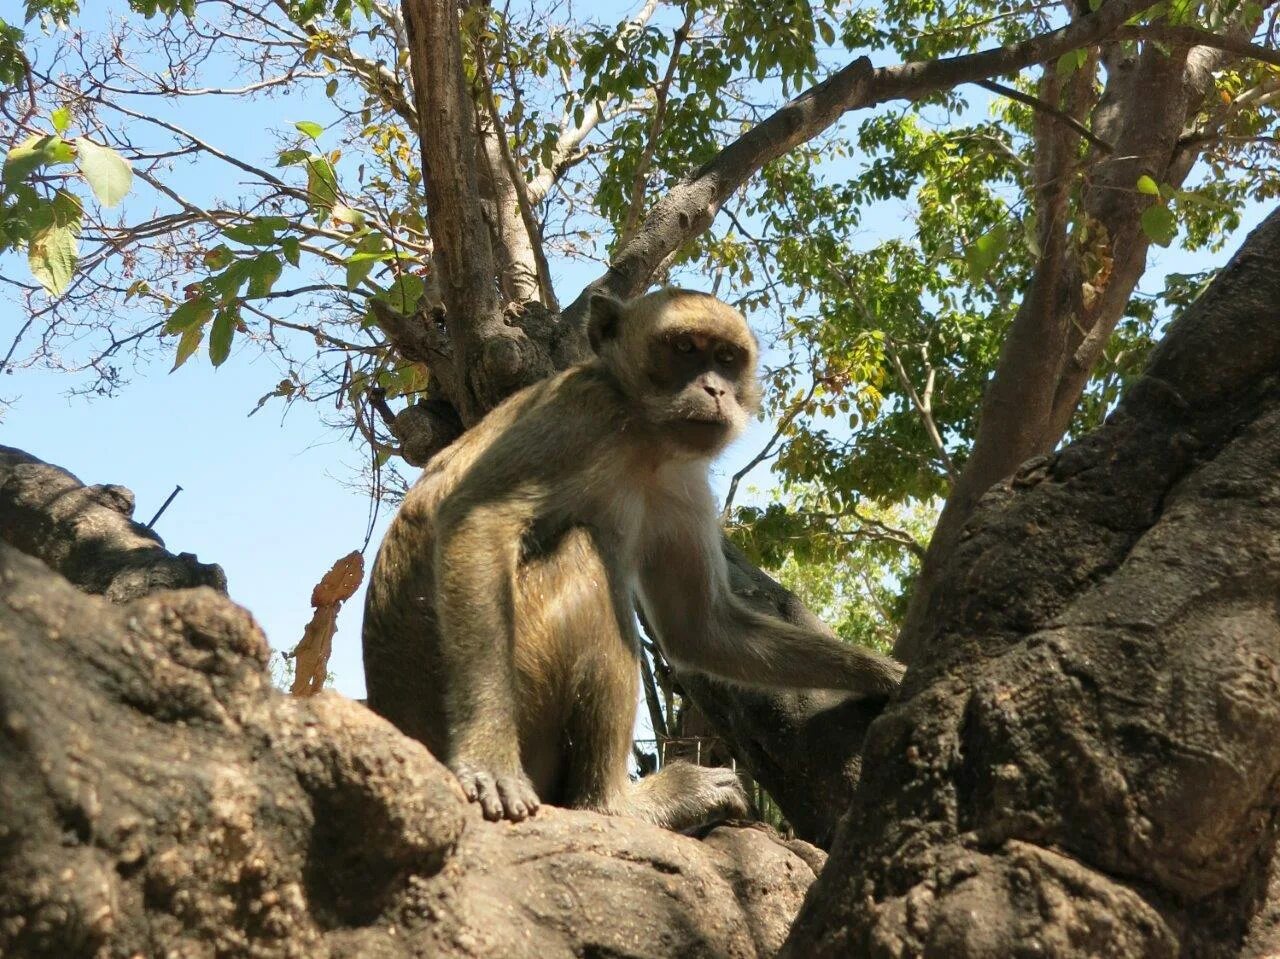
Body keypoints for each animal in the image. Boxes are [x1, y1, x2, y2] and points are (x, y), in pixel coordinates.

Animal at [358, 288, 901, 824]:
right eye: (684, 349)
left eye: (727, 359)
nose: (715, 390)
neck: (643, 435)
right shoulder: (579, 413)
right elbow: (479, 520)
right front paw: (488, 760)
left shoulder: (683, 481)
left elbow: (699, 627)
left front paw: (884, 674)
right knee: (586, 555)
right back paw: (621, 802)